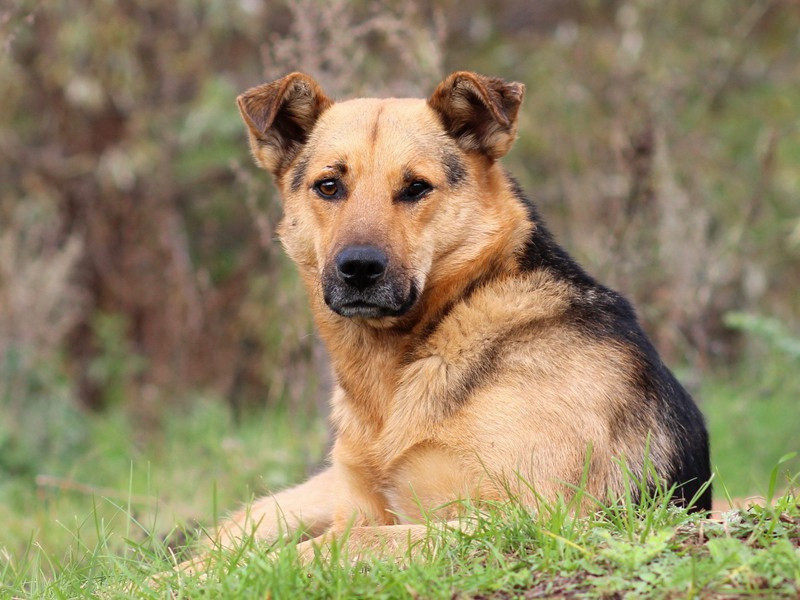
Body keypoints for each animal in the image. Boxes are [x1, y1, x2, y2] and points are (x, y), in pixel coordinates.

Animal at [219, 71, 712, 564]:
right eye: (328, 186)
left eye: (416, 187)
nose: (359, 268)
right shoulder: (358, 502)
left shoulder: (529, 519)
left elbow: (340, 544)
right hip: (290, 505)